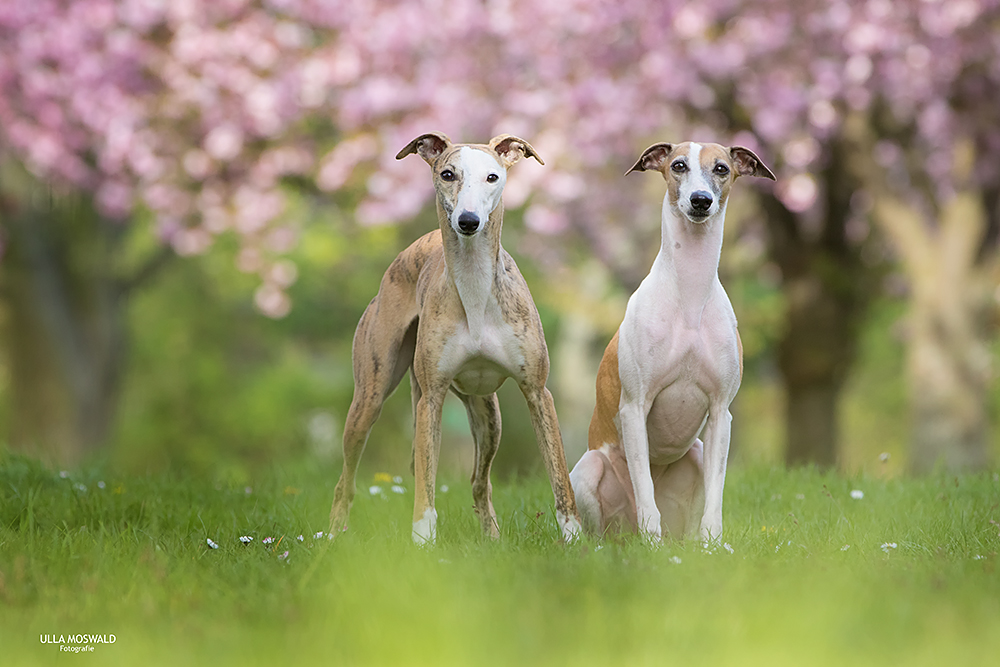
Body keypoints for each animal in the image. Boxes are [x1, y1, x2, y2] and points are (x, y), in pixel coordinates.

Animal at [330, 133, 580, 544]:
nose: (468, 221)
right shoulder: (431, 397)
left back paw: (492, 539)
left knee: (480, 482)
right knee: (347, 479)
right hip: (369, 398)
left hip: (488, 417)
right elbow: (425, 485)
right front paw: (423, 542)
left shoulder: (537, 391)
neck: (475, 286)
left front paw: (576, 539)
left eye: (493, 176)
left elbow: (559, 475)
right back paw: (334, 535)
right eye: (448, 173)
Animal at [572, 141, 772, 544]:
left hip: (695, 454)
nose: (700, 200)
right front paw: (652, 541)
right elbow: (643, 484)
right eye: (678, 165)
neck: (690, 296)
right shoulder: (634, 407)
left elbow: (716, 493)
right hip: (587, 470)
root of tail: (624, 531)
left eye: (722, 168)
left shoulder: (721, 413)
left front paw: (713, 545)